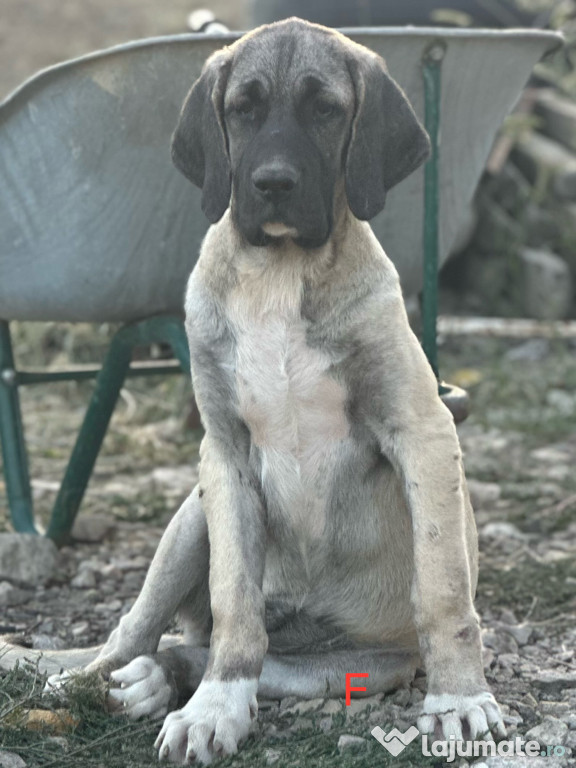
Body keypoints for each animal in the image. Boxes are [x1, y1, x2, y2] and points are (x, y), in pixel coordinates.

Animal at [45, 19, 504, 768]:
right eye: (243, 110)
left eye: (326, 110)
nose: (273, 183)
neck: (279, 271)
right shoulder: (225, 455)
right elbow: (235, 604)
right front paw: (215, 711)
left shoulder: (423, 430)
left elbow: (443, 587)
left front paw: (459, 698)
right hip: (191, 516)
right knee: (147, 628)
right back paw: (100, 678)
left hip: (348, 667)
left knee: (224, 653)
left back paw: (157, 679)